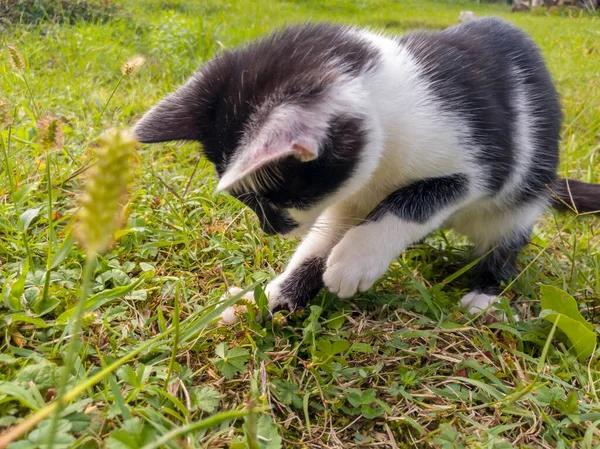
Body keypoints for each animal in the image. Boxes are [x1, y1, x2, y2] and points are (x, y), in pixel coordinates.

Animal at [134, 17, 596, 318]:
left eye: (275, 199)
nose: (268, 230)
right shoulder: (348, 195)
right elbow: (322, 240)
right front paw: (269, 295)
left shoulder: (482, 164)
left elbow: (418, 198)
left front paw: (354, 260)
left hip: (518, 196)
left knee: (504, 237)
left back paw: (486, 291)